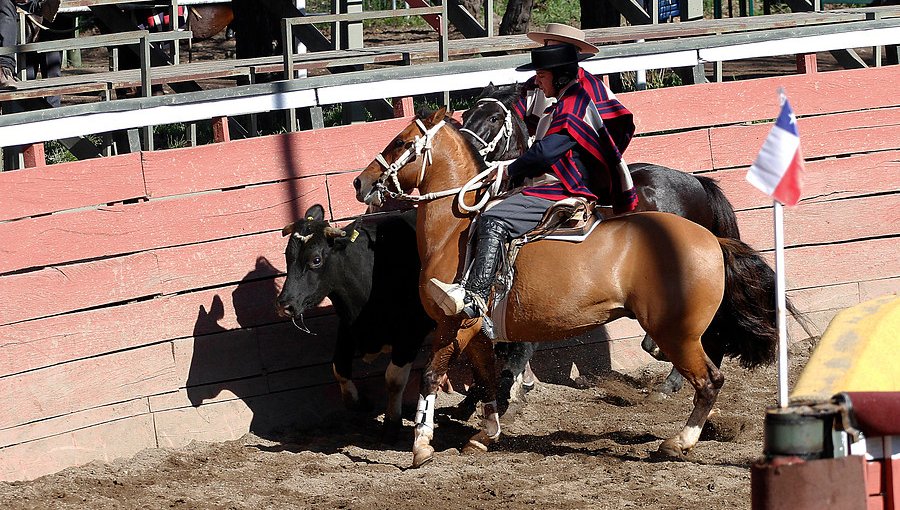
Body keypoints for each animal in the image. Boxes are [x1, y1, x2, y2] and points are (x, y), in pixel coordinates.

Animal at [352, 109, 780, 468]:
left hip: (676, 332)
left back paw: (677, 441)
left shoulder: (454, 324)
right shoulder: (476, 332)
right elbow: (487, 376)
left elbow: (431, 375)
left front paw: (422, 445)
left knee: (709, 380)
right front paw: (484, 434)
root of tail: (711, 238)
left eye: (401, 142)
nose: (362, 181)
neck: (455, 231)